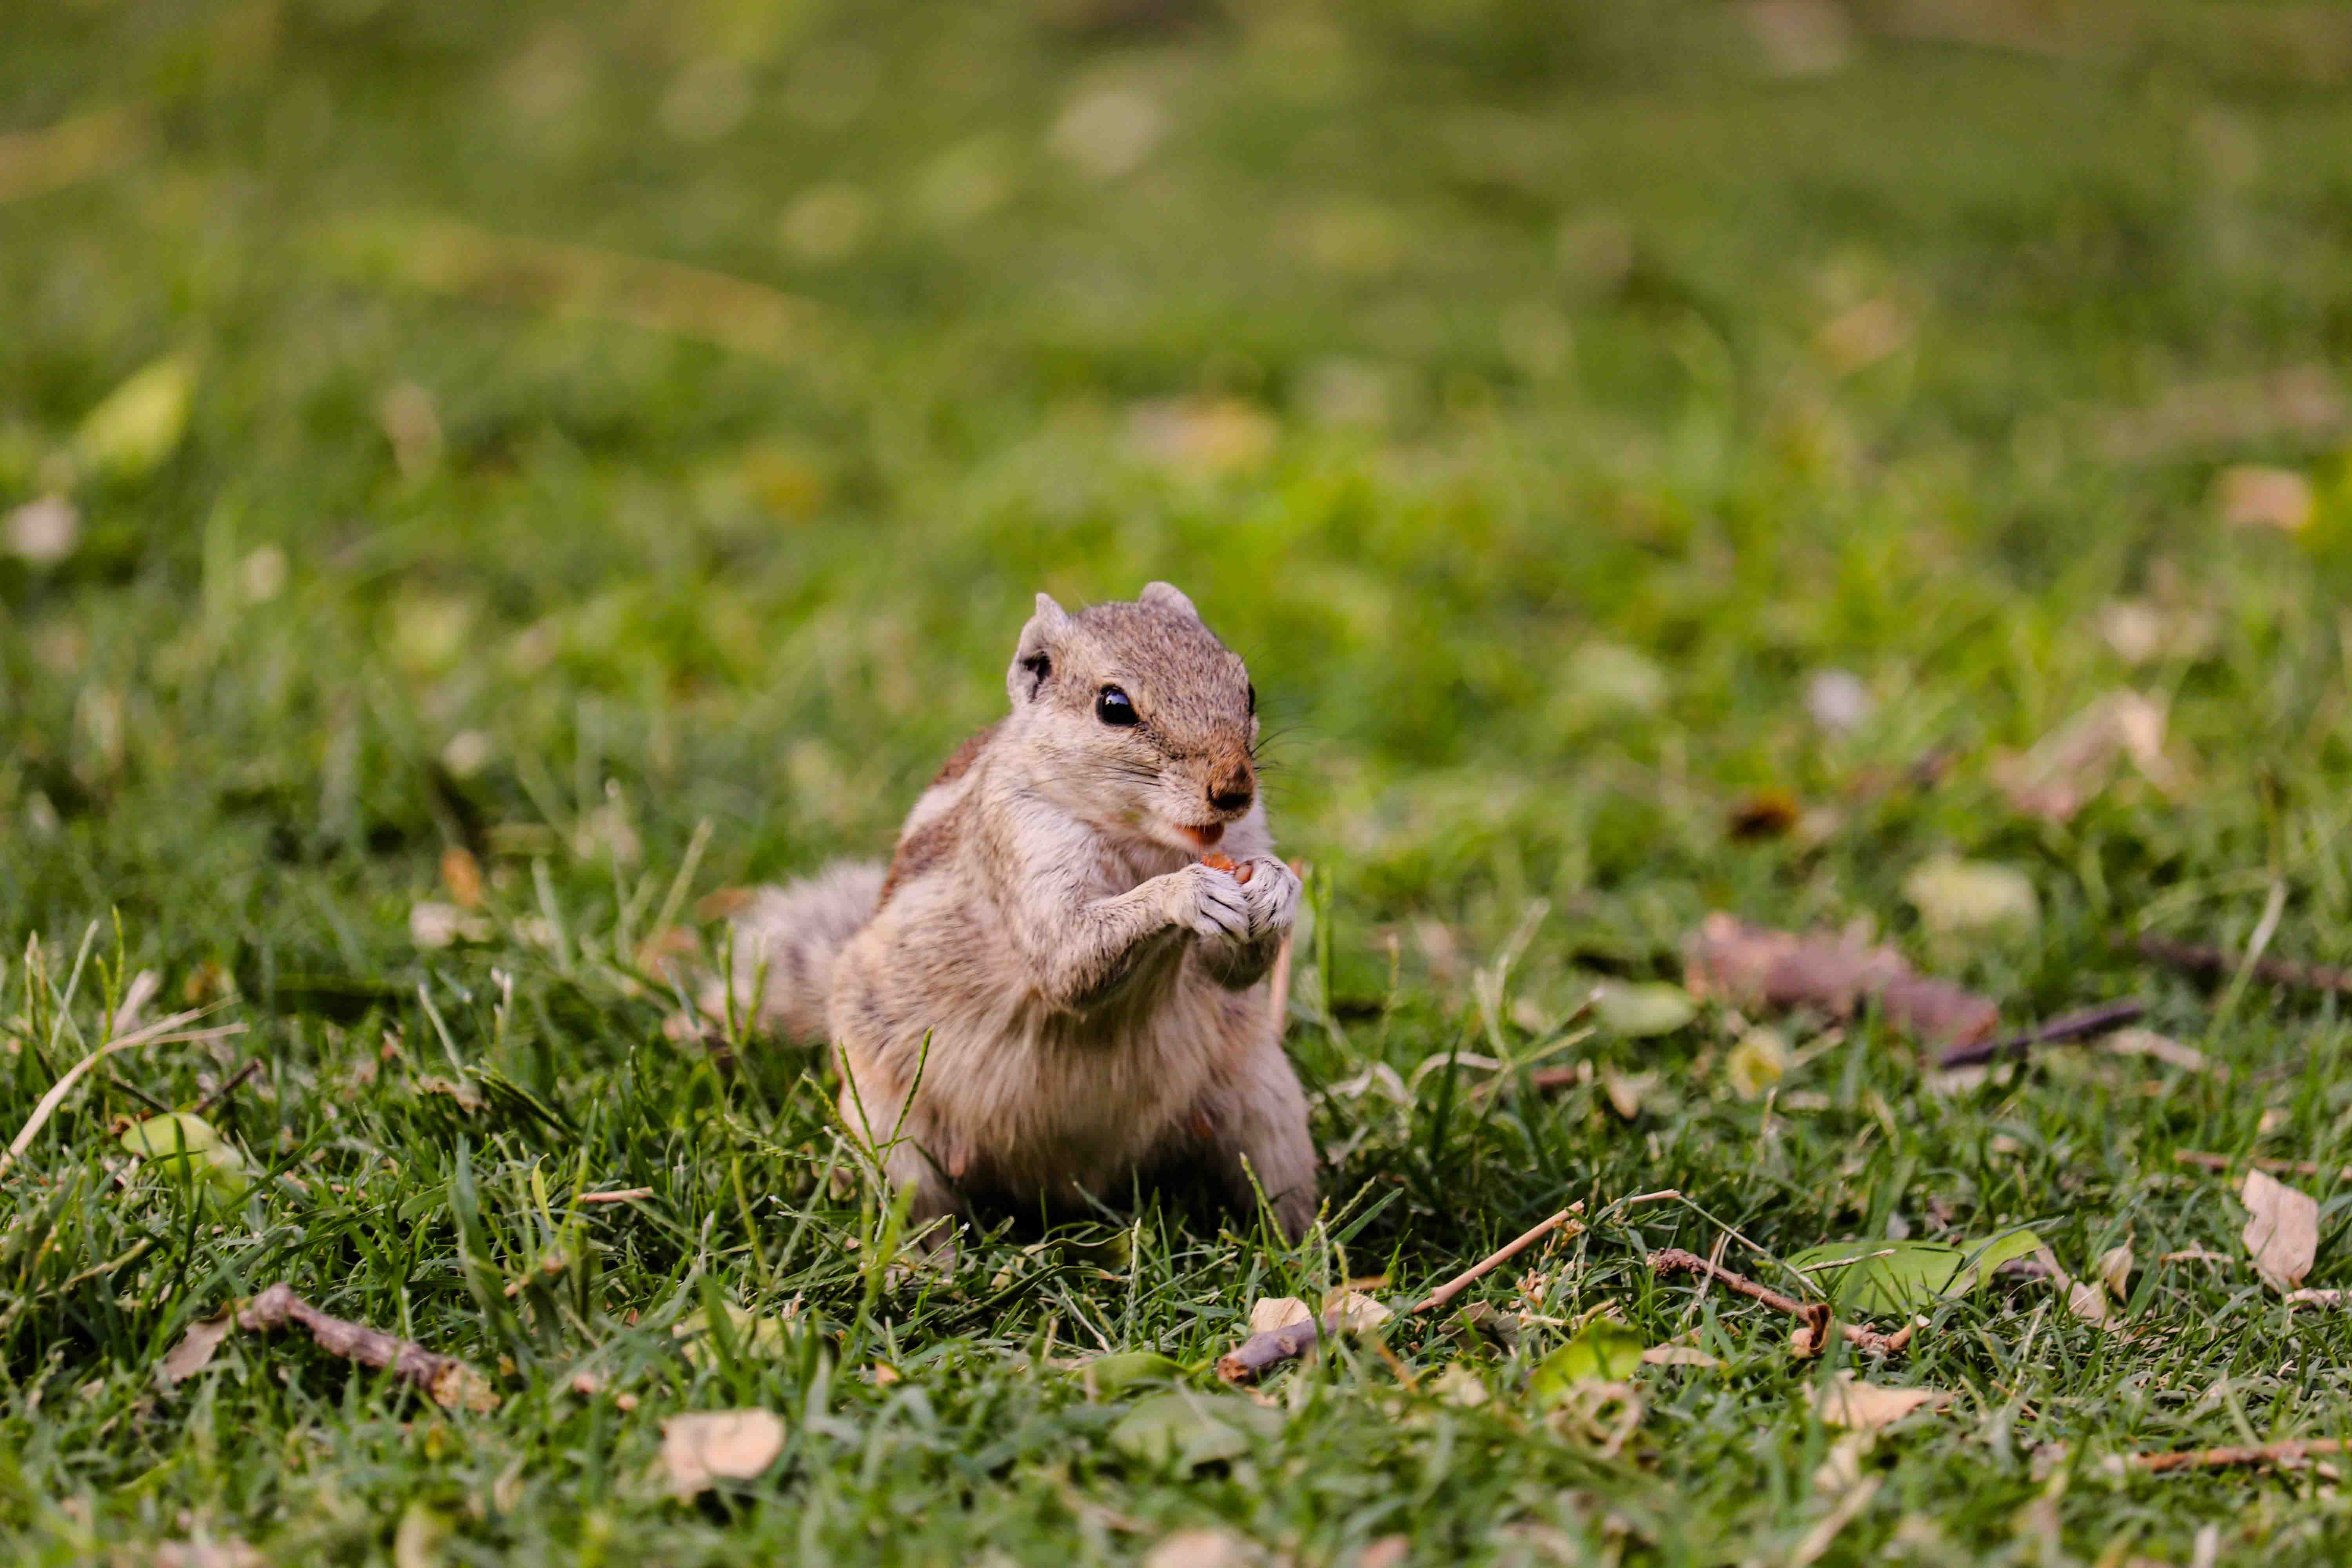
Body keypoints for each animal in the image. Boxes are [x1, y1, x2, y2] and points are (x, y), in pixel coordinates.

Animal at [728, 582, 1318, 1244]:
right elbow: (1067, 959)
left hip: (1266, 1100)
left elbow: (1231, 971)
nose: (1234, 790)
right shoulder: (1022, 839)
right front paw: (1185, 893)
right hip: (887, 1128)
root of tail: (1064, 1188)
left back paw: (1308, 1255)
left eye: (1248, 689)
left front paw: (1279, 887)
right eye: (1114, 707)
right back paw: (924, 1260)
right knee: (918, 1208)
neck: (1143, 841)